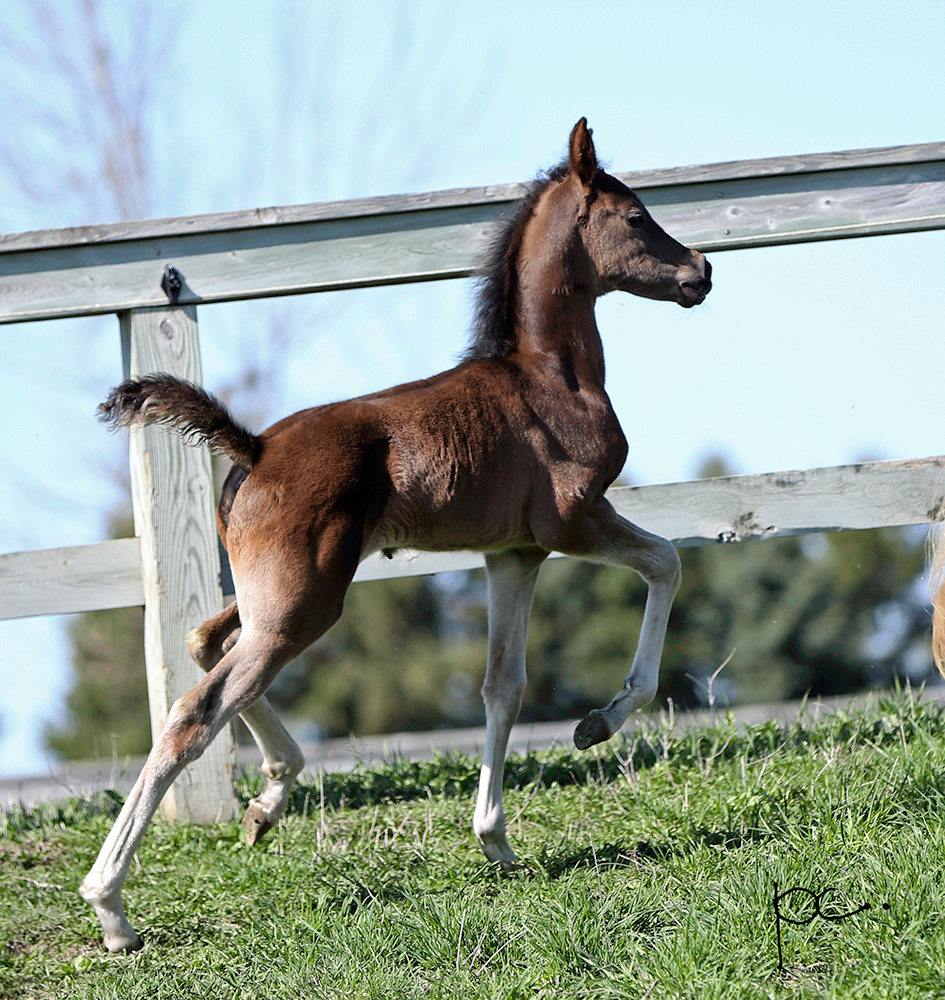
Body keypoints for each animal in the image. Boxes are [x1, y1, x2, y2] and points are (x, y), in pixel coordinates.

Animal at [83, 121, 708, 948]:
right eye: (636, 217)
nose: (700, 272)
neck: (547, 380)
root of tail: (253, 445)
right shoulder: (574, 521)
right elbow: (666, 563)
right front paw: (596, 725)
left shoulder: (513, 554)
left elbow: (502, 685)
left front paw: (495, 840)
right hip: (303, 603)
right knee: (194, 711)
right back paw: (112, 906)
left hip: (273, 593)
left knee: (204, 642)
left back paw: (268, 800)